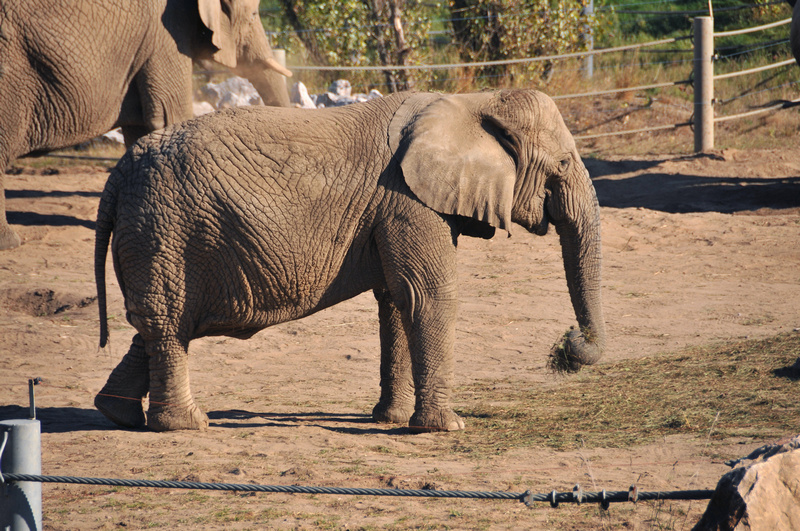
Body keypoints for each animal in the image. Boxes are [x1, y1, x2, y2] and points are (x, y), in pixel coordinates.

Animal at [94, 89, 608, 434]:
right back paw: (189, 425)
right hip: (164, 230)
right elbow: (428, 296)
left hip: (157, 238)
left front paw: (391, 420)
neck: (473, 102)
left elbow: (397, 299)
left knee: (159, 325)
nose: (568, 346)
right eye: (563, 164)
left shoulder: (395, 206)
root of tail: (117, 176)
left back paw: (116, 413)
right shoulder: (407, 200)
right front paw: (446, 427)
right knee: (167, 322)